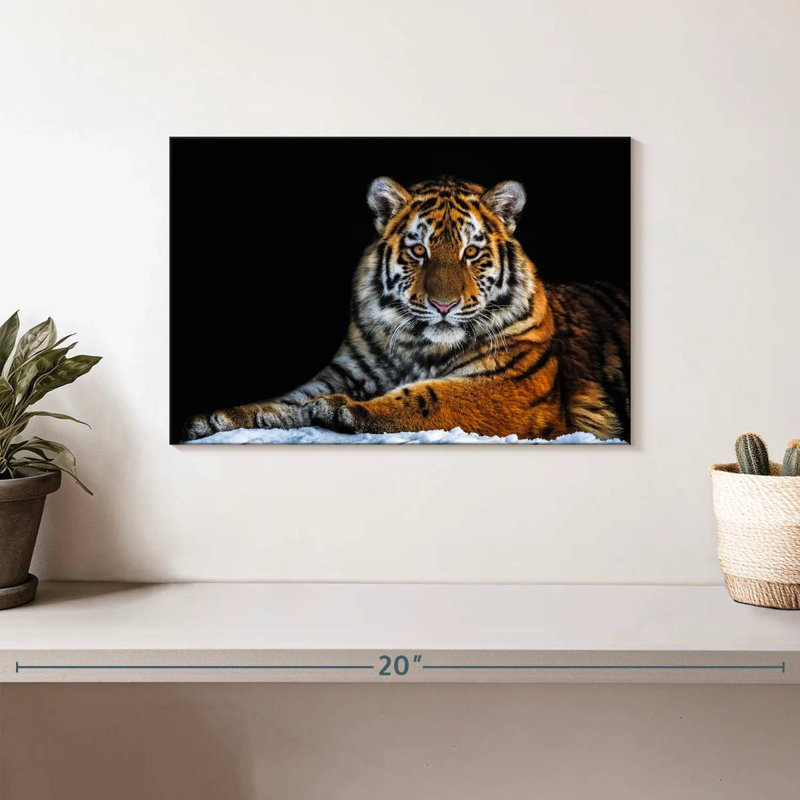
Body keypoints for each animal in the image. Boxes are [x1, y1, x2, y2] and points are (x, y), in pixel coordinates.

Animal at [181, 176, 630, 442]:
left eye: (471, 253)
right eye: (419, 251)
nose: (444, 305)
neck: (418, 346)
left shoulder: (510, 386)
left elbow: (431, 397)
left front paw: (344, 410)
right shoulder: (344, 372)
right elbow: (285, 402)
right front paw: (219, 418)